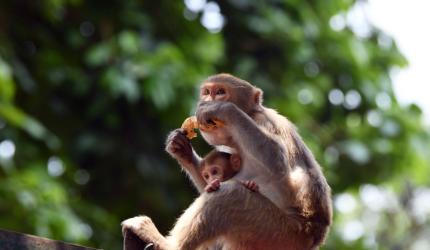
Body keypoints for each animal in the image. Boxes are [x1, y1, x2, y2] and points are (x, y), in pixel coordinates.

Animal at [122, 73, 332, 249]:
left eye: (220, 92)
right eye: (207, 92)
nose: (206, 100)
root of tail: (313, 239)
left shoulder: (265, 122)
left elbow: (277, 161)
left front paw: (221, 109)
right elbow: (210, 184)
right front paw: (181, 149)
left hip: (278, 234)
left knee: (231, 194)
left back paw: (167, 244)